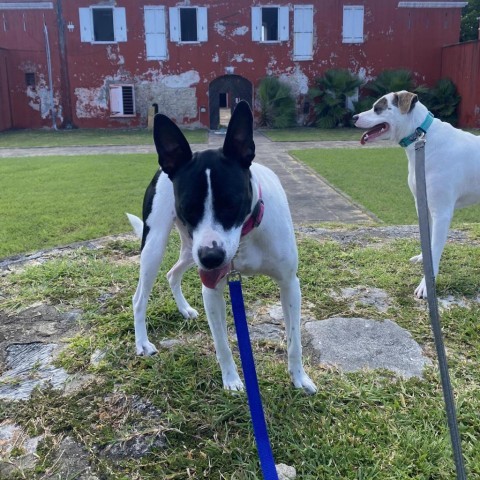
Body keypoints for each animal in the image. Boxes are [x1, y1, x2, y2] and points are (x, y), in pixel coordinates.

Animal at [125, 101, 316, 394]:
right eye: (188, 207)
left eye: (231, 203)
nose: (212, 257)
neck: (246, 238)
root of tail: (162, 169)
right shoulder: (212, 288)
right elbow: (222, 343)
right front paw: (232, 380)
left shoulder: (289, 284)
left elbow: (294, 340)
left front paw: (299, 377)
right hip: (158, 246)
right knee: (139, 298)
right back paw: (142, 342)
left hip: (190, 251)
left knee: (173, 273)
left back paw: (184, 309)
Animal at [352, 91, 480, 296]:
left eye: (378, 108)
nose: (354, 117)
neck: (423, 140)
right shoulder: (423, 204)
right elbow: (427, 241)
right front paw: (422, 258)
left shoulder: (442, 213)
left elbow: (435, 249)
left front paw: (426, 285)